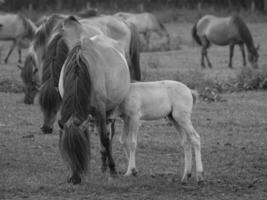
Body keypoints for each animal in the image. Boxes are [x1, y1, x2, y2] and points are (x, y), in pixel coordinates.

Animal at [57, 16, 131, 184]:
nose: (74, 179)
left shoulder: (100, 110)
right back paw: (103, 165)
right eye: (67, 152)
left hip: (109, 109)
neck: (80, 66)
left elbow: (104, 138)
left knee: (108, 134)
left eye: (79, 151)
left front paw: (113, 170)